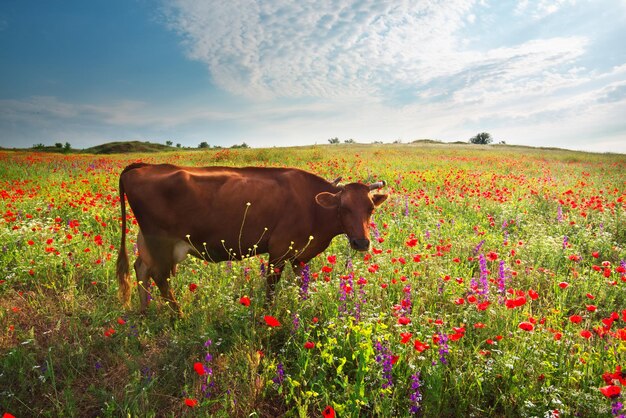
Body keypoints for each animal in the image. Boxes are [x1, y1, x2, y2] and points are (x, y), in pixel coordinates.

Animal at [116, 162, 386, 314]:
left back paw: (144, 311)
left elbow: (302, 284)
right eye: (343, 208)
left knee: (142, 269)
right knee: (160, 277)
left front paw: (303, 307)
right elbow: (271, 288)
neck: (312, 206)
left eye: (371, 208)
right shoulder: (278, 251)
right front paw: (267, 316)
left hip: (149, 241)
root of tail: (144, 166)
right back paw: (177, 315)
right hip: (160, 241)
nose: (362, 242)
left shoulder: (299, 256)